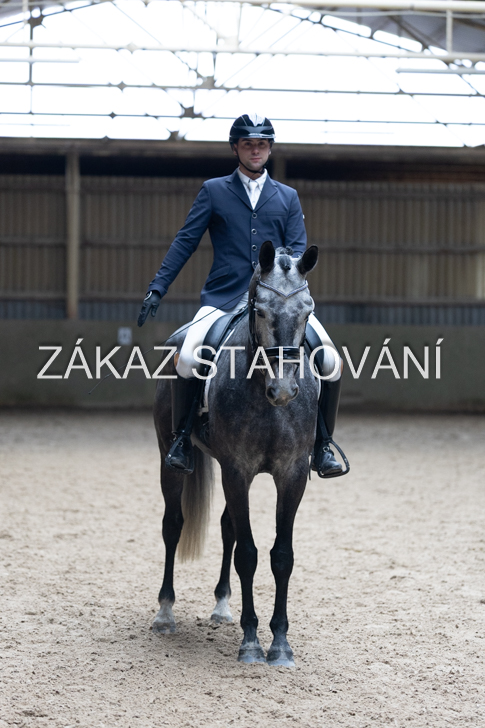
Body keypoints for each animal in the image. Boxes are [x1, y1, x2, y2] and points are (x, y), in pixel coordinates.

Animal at [152, 240, 320, 667]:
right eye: (259, 310)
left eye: (308, 310)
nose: (284, 391)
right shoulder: (237, 470)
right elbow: (248, 553)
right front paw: (251, 643)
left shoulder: (292, 474)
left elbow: (282, 555)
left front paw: (280, 644)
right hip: (169, 458)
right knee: (173, 525)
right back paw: (164, 613)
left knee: (227, 525)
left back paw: (222, 607)